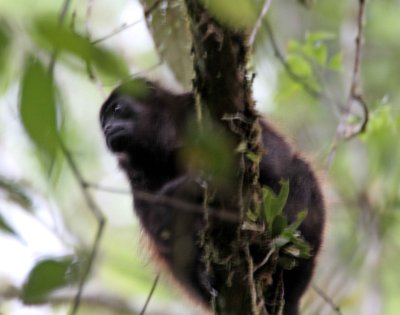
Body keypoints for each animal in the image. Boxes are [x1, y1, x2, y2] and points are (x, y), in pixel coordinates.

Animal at [100, 79, 324, 315]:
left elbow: (276, 163)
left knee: (299, 171)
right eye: (103, 121)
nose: (106, 128)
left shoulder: (195, 112)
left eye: (116, 109)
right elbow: (158, 221)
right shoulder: (134, 172)